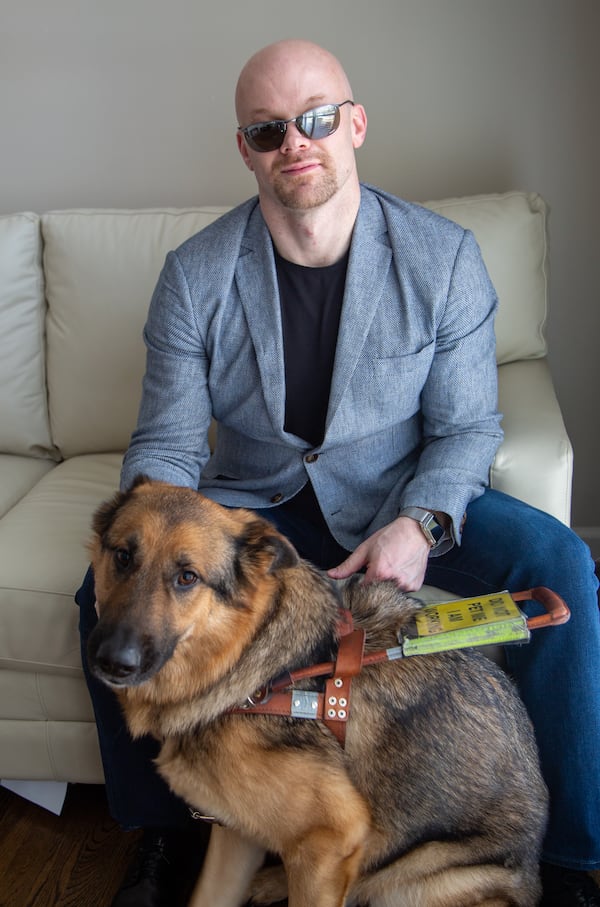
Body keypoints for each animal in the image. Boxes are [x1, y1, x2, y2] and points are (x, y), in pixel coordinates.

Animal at [86, 478, 552, 904]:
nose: (112, 662)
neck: (255, 672)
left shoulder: (329, 841)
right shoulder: (236, 835)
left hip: (413, 877)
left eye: (187, 577)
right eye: (123, 557)